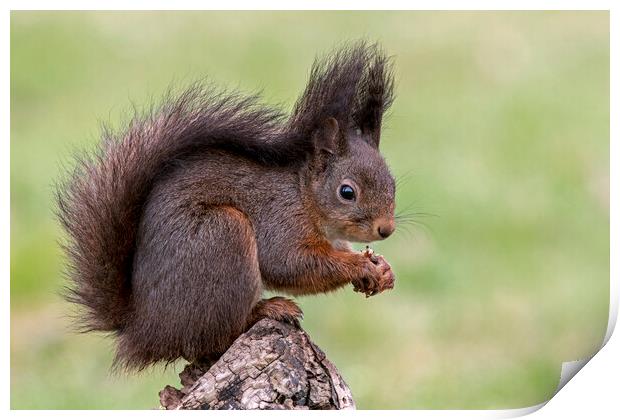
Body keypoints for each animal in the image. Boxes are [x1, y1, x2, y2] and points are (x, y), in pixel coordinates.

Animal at [57, 41, 398, 370]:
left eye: (393, 182)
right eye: (346, 192)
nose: (386, 229)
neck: (303, 194)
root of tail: (144, 330)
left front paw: (381, 269)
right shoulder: (279, 218)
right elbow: (290, 264)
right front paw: (359, 265)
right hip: (223, 235)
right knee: (216, 335)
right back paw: (268, 308)